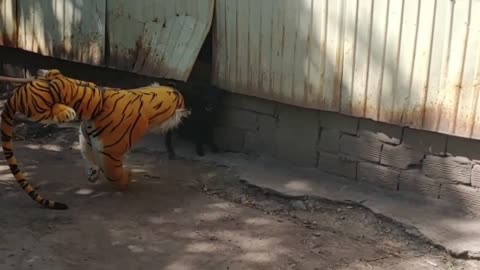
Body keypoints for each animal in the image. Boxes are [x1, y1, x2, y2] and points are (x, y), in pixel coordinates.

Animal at [0, 68, 191, 210]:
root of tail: (15, 95)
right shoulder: (111, 152)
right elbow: (113, 173)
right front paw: (127, 178)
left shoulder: (86, 136)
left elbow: (88, 155)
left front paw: (93, 172)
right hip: (40, 106)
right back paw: (66, 111)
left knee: (54, 75)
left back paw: (44, 73)